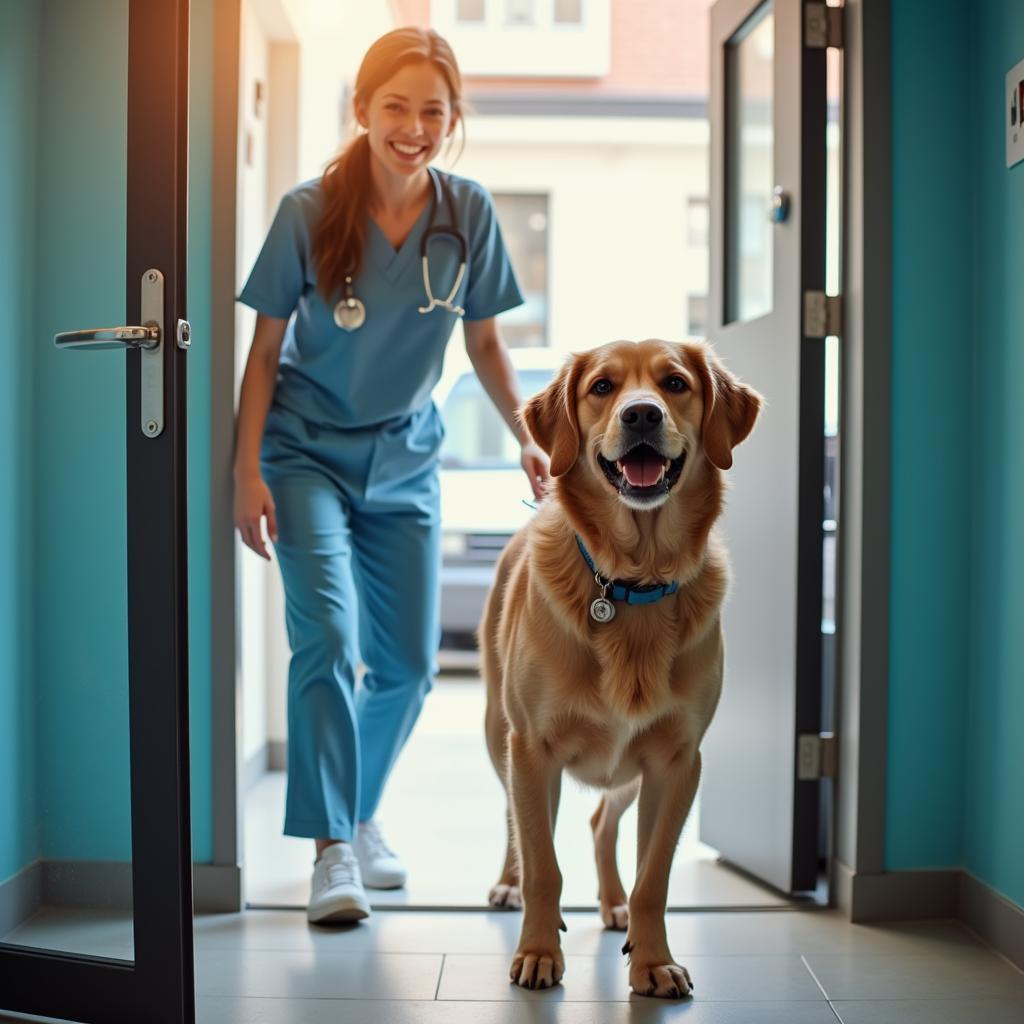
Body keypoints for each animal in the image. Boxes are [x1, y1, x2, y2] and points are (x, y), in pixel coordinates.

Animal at [479, 339, 761, 995]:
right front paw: (537, 952)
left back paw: (612, 905)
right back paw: (509, 884)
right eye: (602, 387)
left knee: (601, 823)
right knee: (516, 821)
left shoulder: (677, 762)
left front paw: (653, 960)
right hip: (499, 738)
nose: (641, 415)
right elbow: (543, 865)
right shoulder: (532, 750)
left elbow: (653, 877)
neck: (632, 581)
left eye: (676, 383)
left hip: (627, 772)